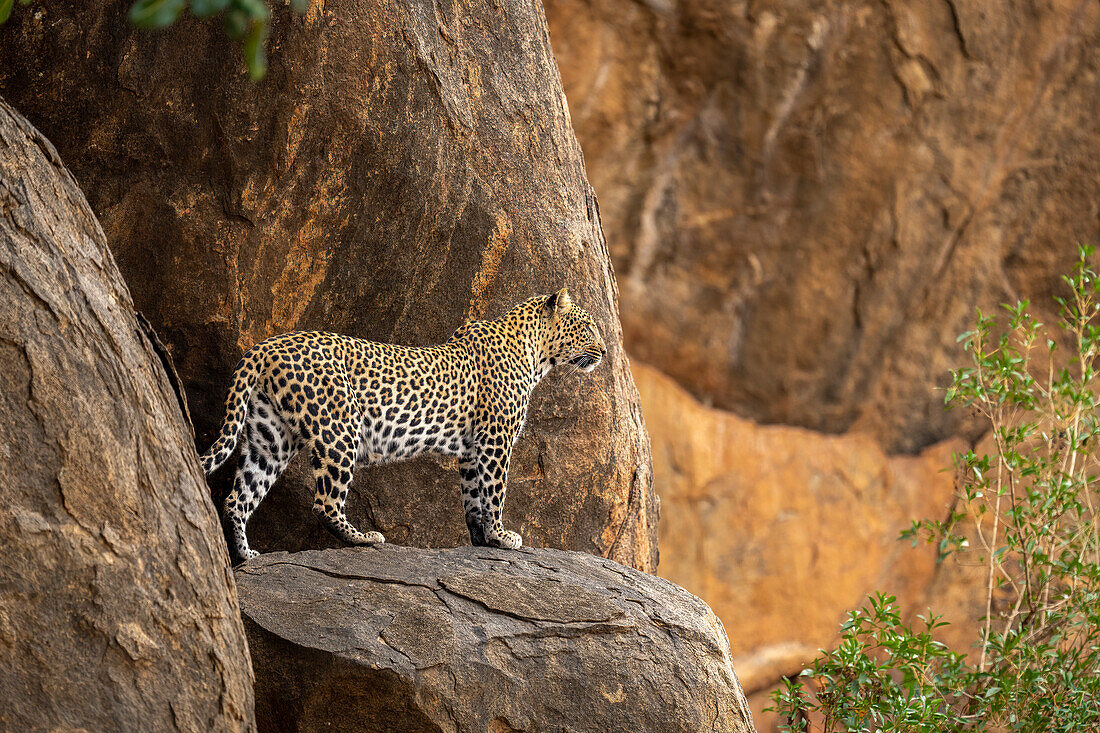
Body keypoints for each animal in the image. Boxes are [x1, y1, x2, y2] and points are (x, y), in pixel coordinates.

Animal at [202, 286, 607, 559]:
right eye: (588, 327)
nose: (604, 352)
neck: (536, 354)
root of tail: (266, 345)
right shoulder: (495, 439)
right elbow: (495, 491)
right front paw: (501, 536)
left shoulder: (471, 449)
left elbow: (473, 496)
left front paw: (481, 540)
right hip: (340, 428)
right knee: (324, 502)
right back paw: (364, 538)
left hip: (271, 436)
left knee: (238, 497)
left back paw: (246, 556)